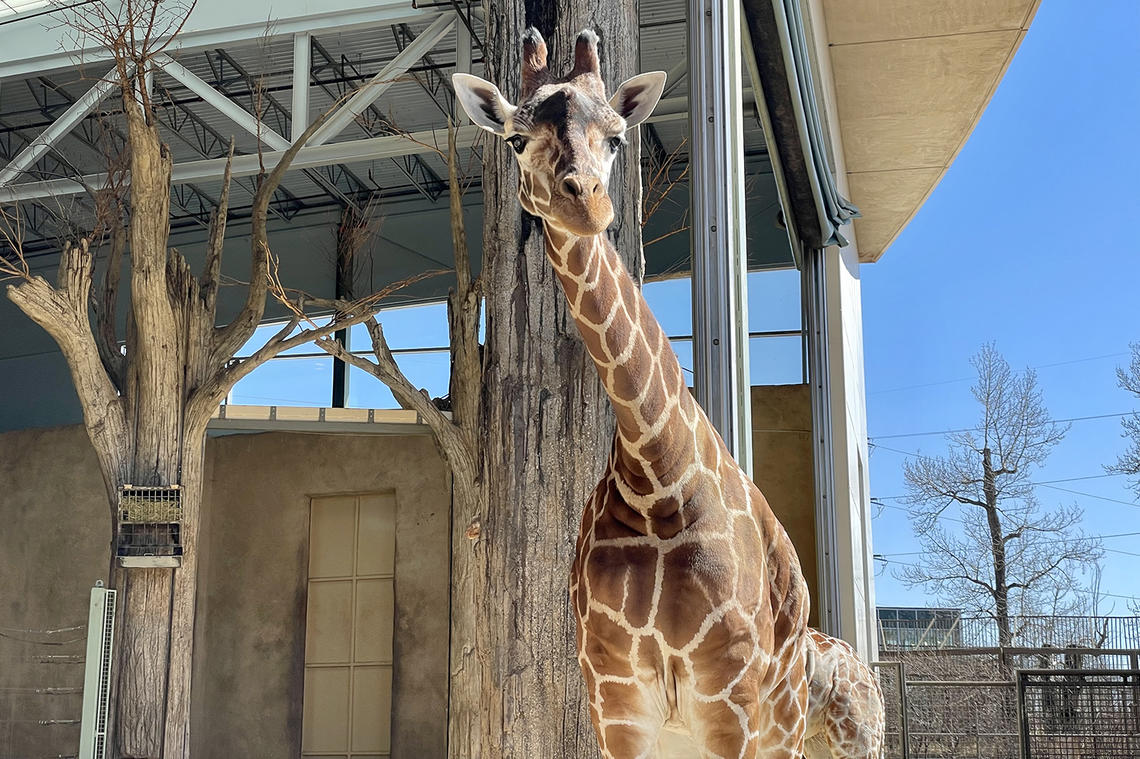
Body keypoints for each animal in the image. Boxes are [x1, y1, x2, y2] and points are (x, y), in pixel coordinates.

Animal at [453, 26, 811, 752]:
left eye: (617, 137)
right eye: (515, 138)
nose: (585, 199)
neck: (658, 477)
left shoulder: (728, 694)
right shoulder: (613, 693)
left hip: (784, 716)